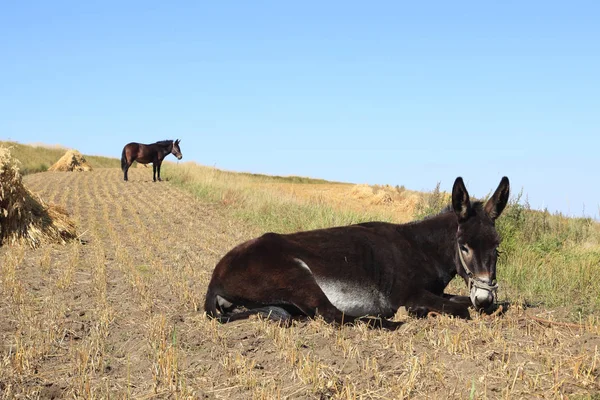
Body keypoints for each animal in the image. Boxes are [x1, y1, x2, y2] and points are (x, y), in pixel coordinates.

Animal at [204, 177, 508, 330]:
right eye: (464, 246)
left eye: (497, 246)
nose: (484, 297)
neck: (421, 249)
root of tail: (216, 276)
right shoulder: (407, 294)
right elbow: (460, 307)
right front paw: (424, 312)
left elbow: (470, 301)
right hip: (297, 274)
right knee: (331, 314)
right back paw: (384, 320)